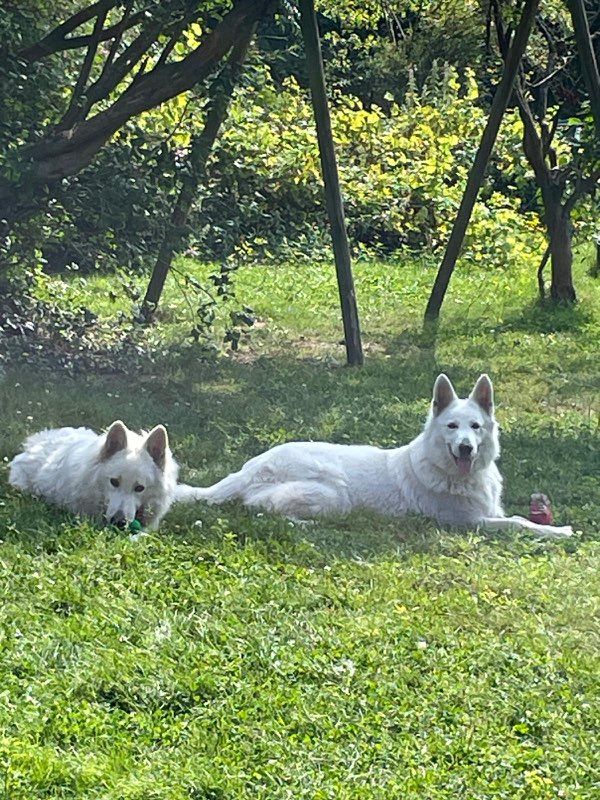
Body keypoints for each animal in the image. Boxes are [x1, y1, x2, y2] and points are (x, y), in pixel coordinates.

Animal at [177, 374, 572, 536]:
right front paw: (562, 534)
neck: (453, 473)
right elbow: (519, 524)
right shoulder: (470, 523)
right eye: (451, 426)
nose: (465, 447)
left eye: (474, 427)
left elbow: (521, 516)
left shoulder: (489, 511)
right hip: (334, 495)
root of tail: (251, 466)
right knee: (261, 511)